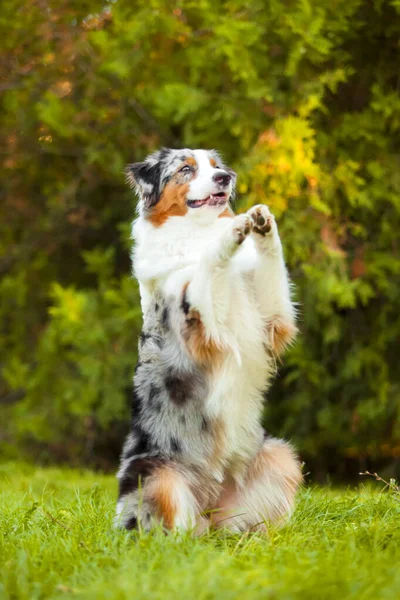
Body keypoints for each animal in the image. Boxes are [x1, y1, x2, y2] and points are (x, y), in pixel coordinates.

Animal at [114, 148, 302, 532]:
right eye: (185, 169)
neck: (194, 232)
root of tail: (209, 502)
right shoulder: (202, 323)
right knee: (171, 532)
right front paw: (230, 232)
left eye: (216, 167)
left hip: (278, 455)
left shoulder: (271, 321)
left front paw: (262, 222)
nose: (224, 178)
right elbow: (209, 263)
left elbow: (272, 270)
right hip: (157, 476)